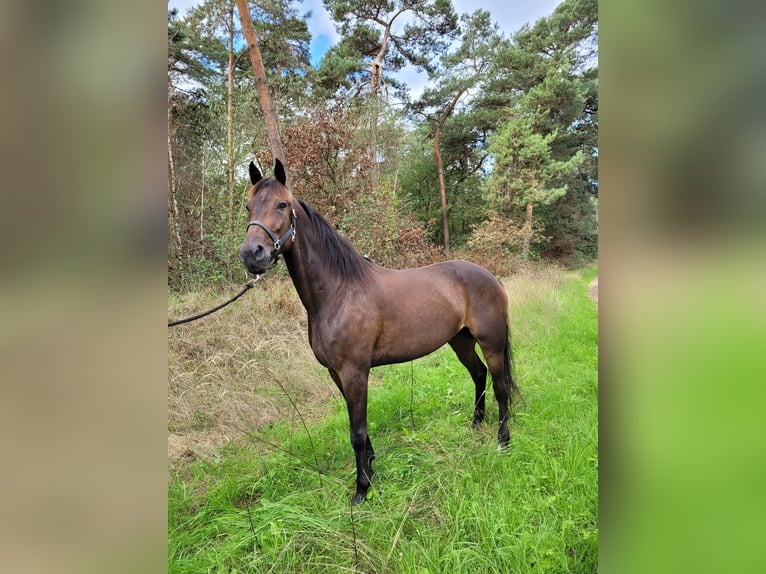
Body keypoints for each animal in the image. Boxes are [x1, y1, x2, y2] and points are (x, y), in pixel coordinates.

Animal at [239, 159, 517, 505]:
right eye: (248, 206)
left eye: (282, 204)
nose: (252, 254)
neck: (339, 292)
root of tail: (489, 276)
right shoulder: (337, 373)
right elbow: (359, 426)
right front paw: (370, 467)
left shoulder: (355, 372)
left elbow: (356, 432)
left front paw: (361, 488)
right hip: (460, 340)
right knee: (479, 375)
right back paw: (475, 425)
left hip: (491, 342)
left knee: (501, 386)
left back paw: (503, 441)